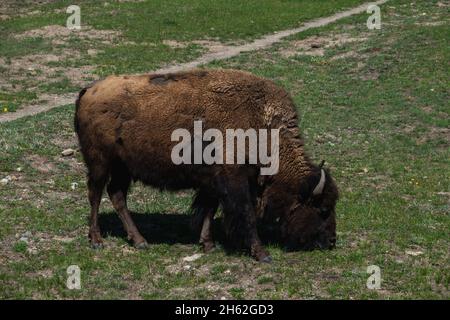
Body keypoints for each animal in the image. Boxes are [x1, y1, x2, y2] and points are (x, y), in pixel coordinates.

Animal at [74, 69, 338, 262]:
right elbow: (246, 215)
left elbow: (209, 210)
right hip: (100, 163)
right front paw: (262, 254)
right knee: (95, 195)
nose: (332, 241)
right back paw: (97, 241)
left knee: (117, 195)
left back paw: (140, 241)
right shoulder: (235, 183)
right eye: (323, 209)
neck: (263, 125)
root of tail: (88, 90)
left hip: (123, 168)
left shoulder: (214, 183)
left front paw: (208, 244)